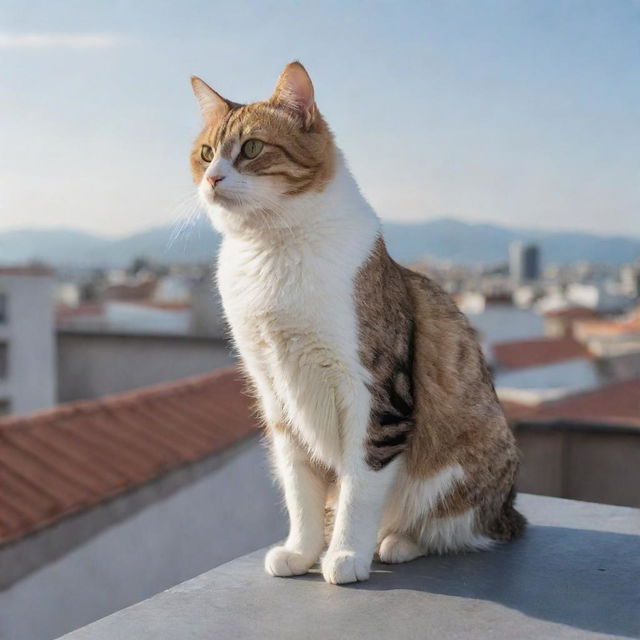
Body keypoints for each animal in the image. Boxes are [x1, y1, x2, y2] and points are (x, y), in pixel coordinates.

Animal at [189, 61, 524, 584]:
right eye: (205, 153)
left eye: (251, 149)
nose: (212, 179)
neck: (272, 248)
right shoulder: (276, 393)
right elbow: (300, 487)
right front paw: (302, 551)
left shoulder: (376, 395)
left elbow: (359, 486)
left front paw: (345, 554)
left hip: (464, 465)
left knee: (451, 527)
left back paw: (397, 543)